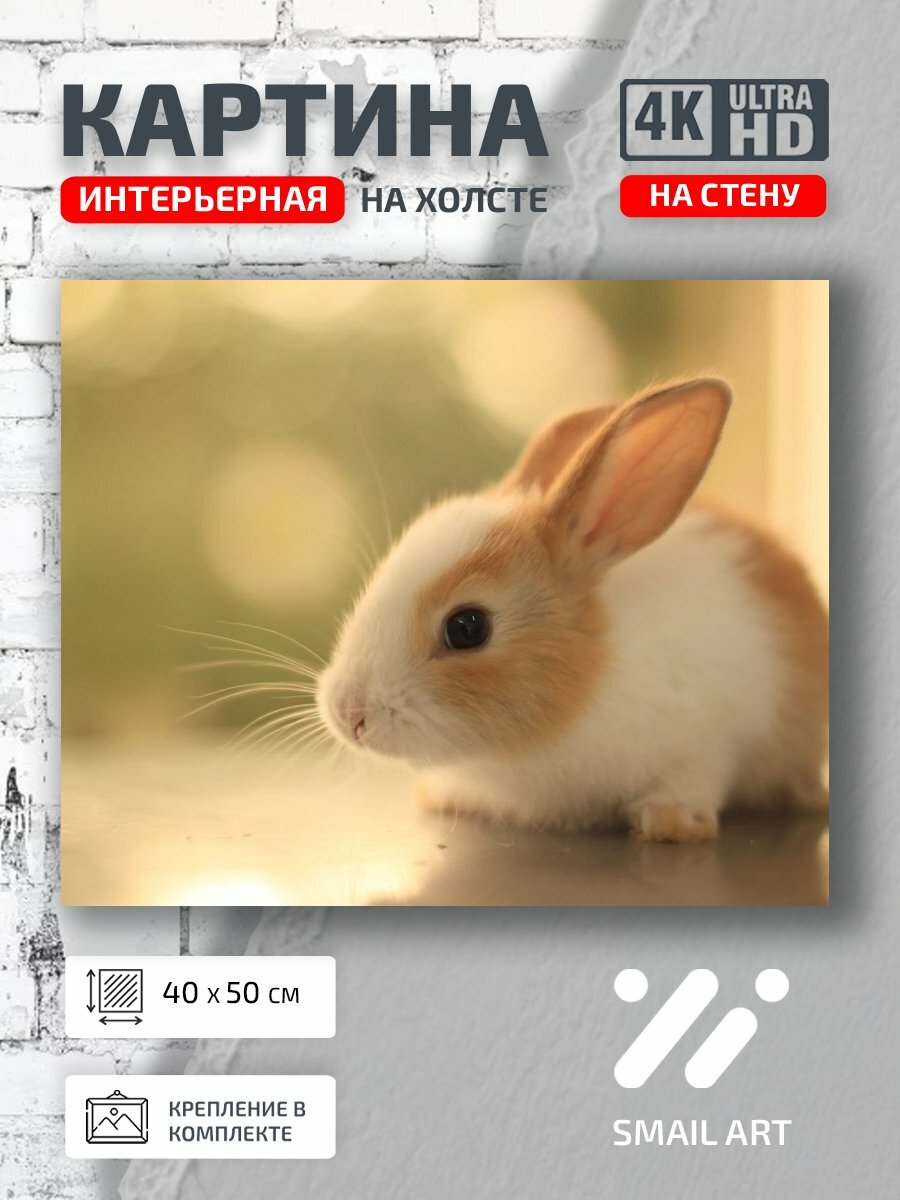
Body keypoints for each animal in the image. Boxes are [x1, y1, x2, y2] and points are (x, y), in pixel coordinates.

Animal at [316, 379, 829, 842]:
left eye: (467, 627)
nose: (349, 713)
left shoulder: (710, 736)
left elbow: (696, 775)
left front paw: (670, 821)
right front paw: (445, 795)